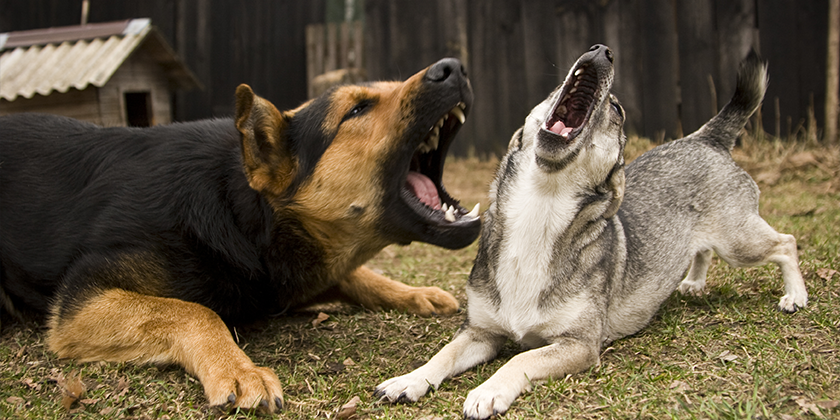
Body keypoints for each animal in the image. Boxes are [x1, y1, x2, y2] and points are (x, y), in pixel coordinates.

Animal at [0, 57, 482, 412]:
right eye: (357, 109)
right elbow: (194, 312)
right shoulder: (80, 302)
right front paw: (239, 369)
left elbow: (357, 275)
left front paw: (412, 293)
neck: (242, 212)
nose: (454, 66)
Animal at [374, 44, 808, 418]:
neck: (540, 210)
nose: (602, 50)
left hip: (739, 244)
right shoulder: (479, 333)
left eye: (616, 109)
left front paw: (488, 391)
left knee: (786, 243)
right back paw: (693, 282)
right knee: (702, 250)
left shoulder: (578, 345)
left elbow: (521, 357)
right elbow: (443, 355)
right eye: (551, 92)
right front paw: (409, 381)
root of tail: (706, 139)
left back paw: (795, 296)